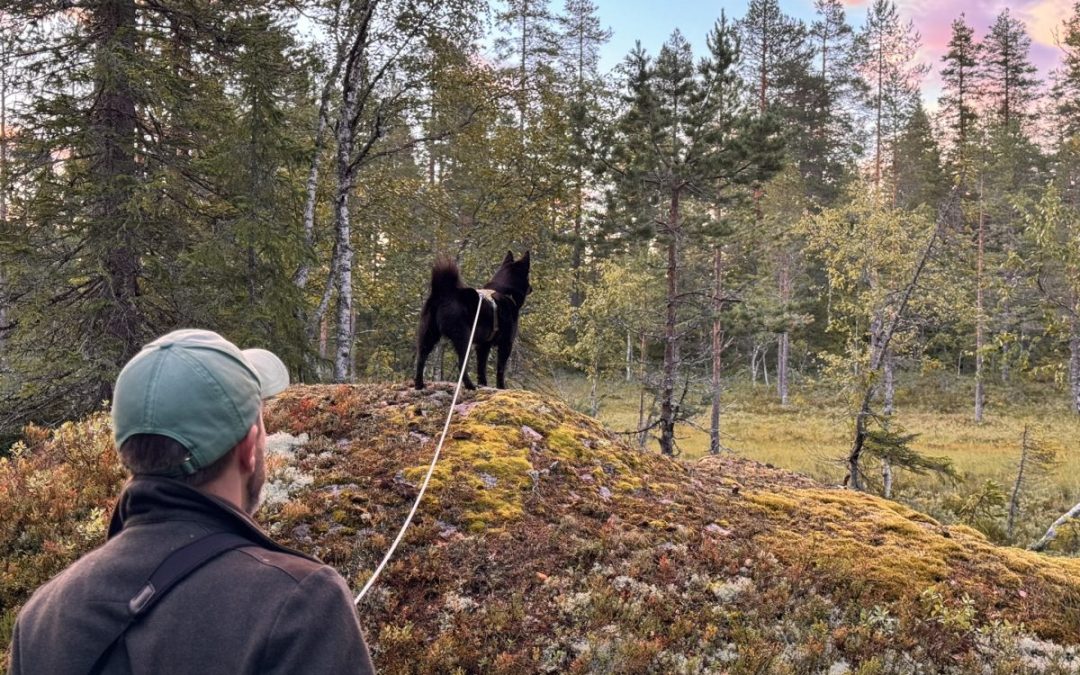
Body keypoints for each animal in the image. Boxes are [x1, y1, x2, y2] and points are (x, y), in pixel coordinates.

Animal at [412, 250, 531, 388]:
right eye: (528, 276)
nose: (531, 288)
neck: (505, 292)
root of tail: (444, 294)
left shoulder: (483, 345)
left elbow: (481, 368)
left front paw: (483, 384)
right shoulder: (506, 343)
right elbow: (500, 370)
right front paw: (501, 387)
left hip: (428, 334)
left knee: (421, 358)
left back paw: (419, 384)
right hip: (464, 337)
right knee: (461, 363)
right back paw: (470, 385)